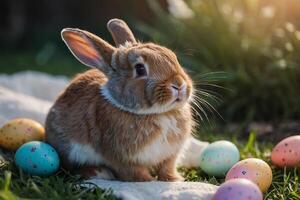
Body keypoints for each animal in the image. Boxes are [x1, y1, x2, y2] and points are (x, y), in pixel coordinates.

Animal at [44, 18, 195, 181]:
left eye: (173, 57)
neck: (158, 113)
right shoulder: (122, 159)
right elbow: (135, 173)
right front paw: (148, 181)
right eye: (140, 69)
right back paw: (98, 172)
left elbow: (167, 167)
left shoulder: (170, 155)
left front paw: (174, 179)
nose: (179, 84)